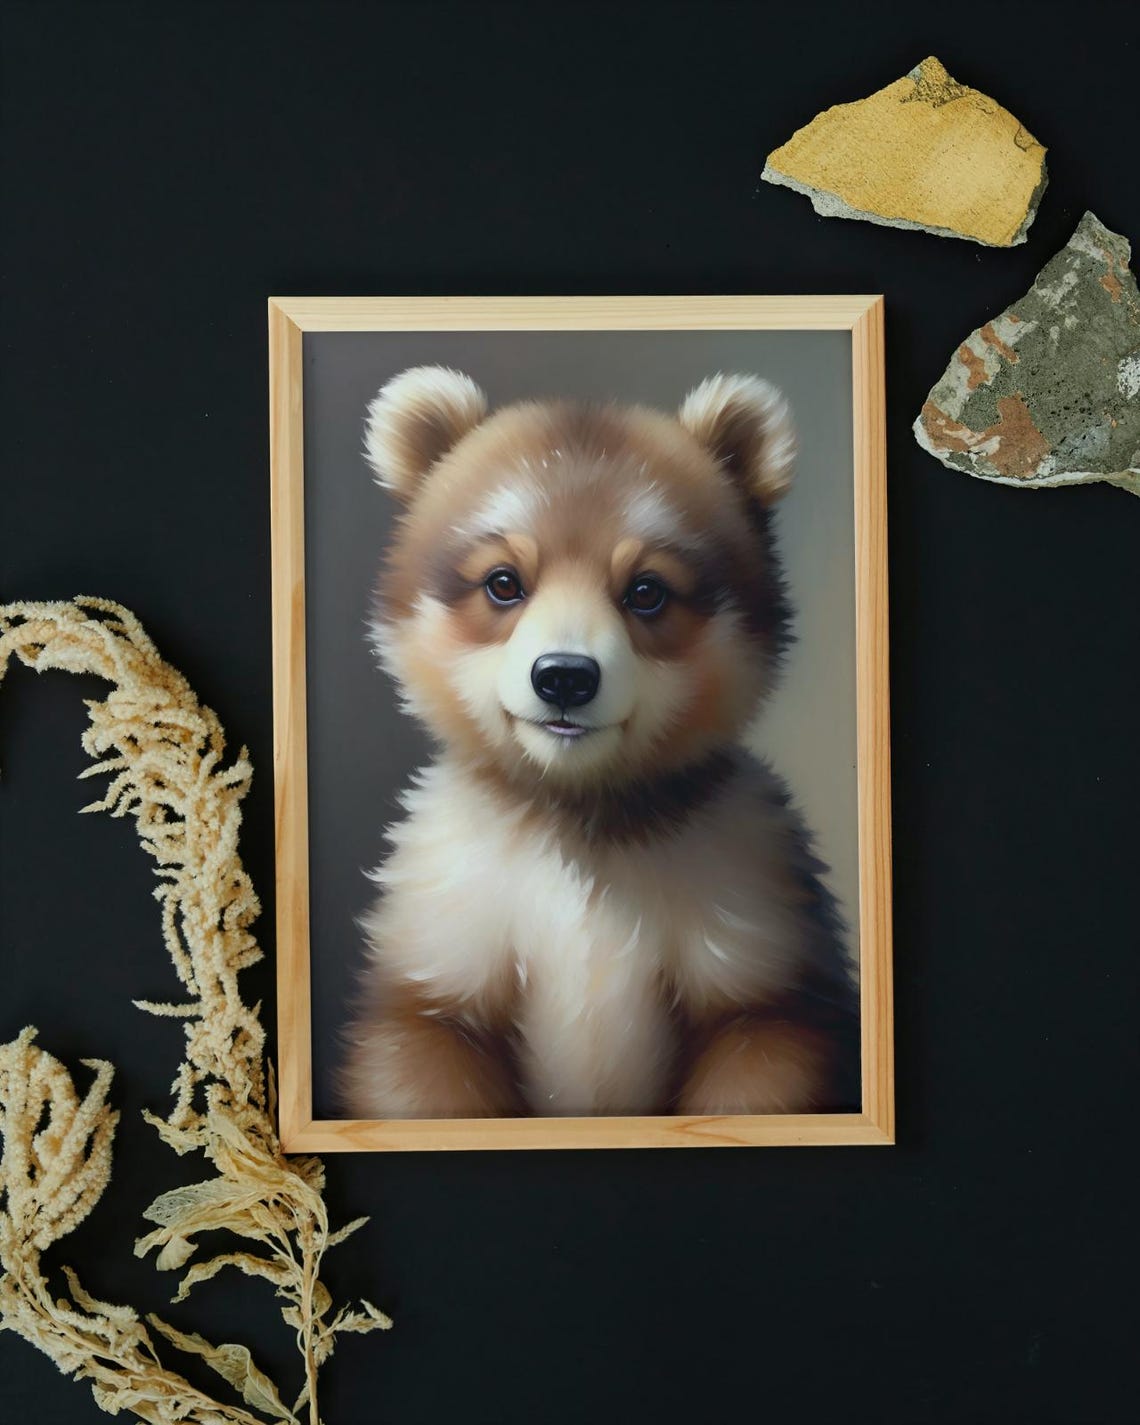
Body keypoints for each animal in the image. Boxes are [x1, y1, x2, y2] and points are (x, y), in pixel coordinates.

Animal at [339, 365, 859, 1119]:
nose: (564, 676)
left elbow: (761, 1066)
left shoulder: (758, 941)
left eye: (646, 591)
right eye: (504, 582)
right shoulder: (442, 943)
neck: (581, 821)